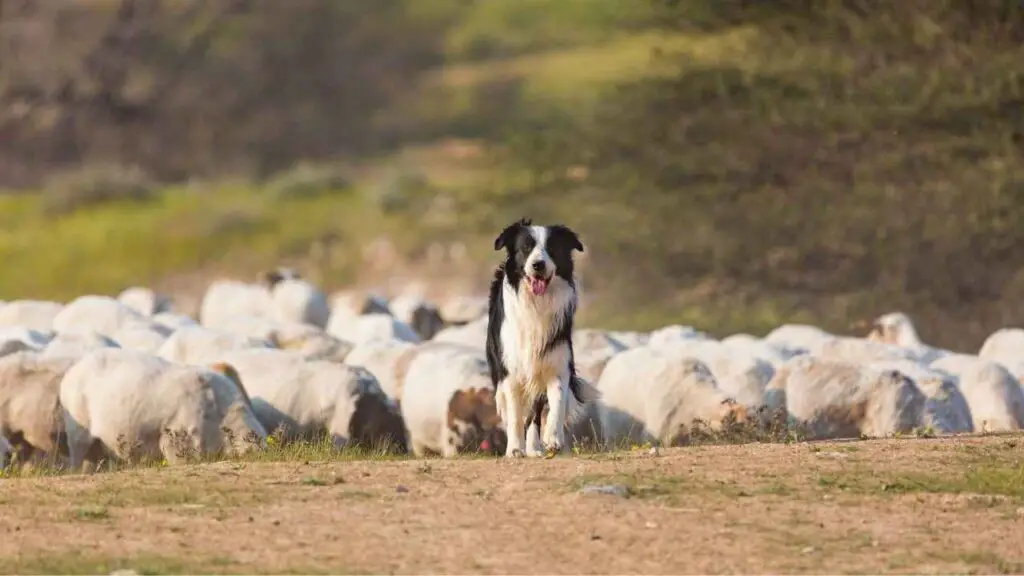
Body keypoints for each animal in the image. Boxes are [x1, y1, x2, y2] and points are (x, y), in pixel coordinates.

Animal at [483, 217, 598, 455]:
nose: (538, 265)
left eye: (552, 249)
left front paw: (552, 439)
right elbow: (515, 416)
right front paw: (514, 449)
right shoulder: (510, 370)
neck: (537, 304)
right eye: (526, 248)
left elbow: (556, 405)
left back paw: (534, 448)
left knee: (535, 414)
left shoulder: (556, 364)